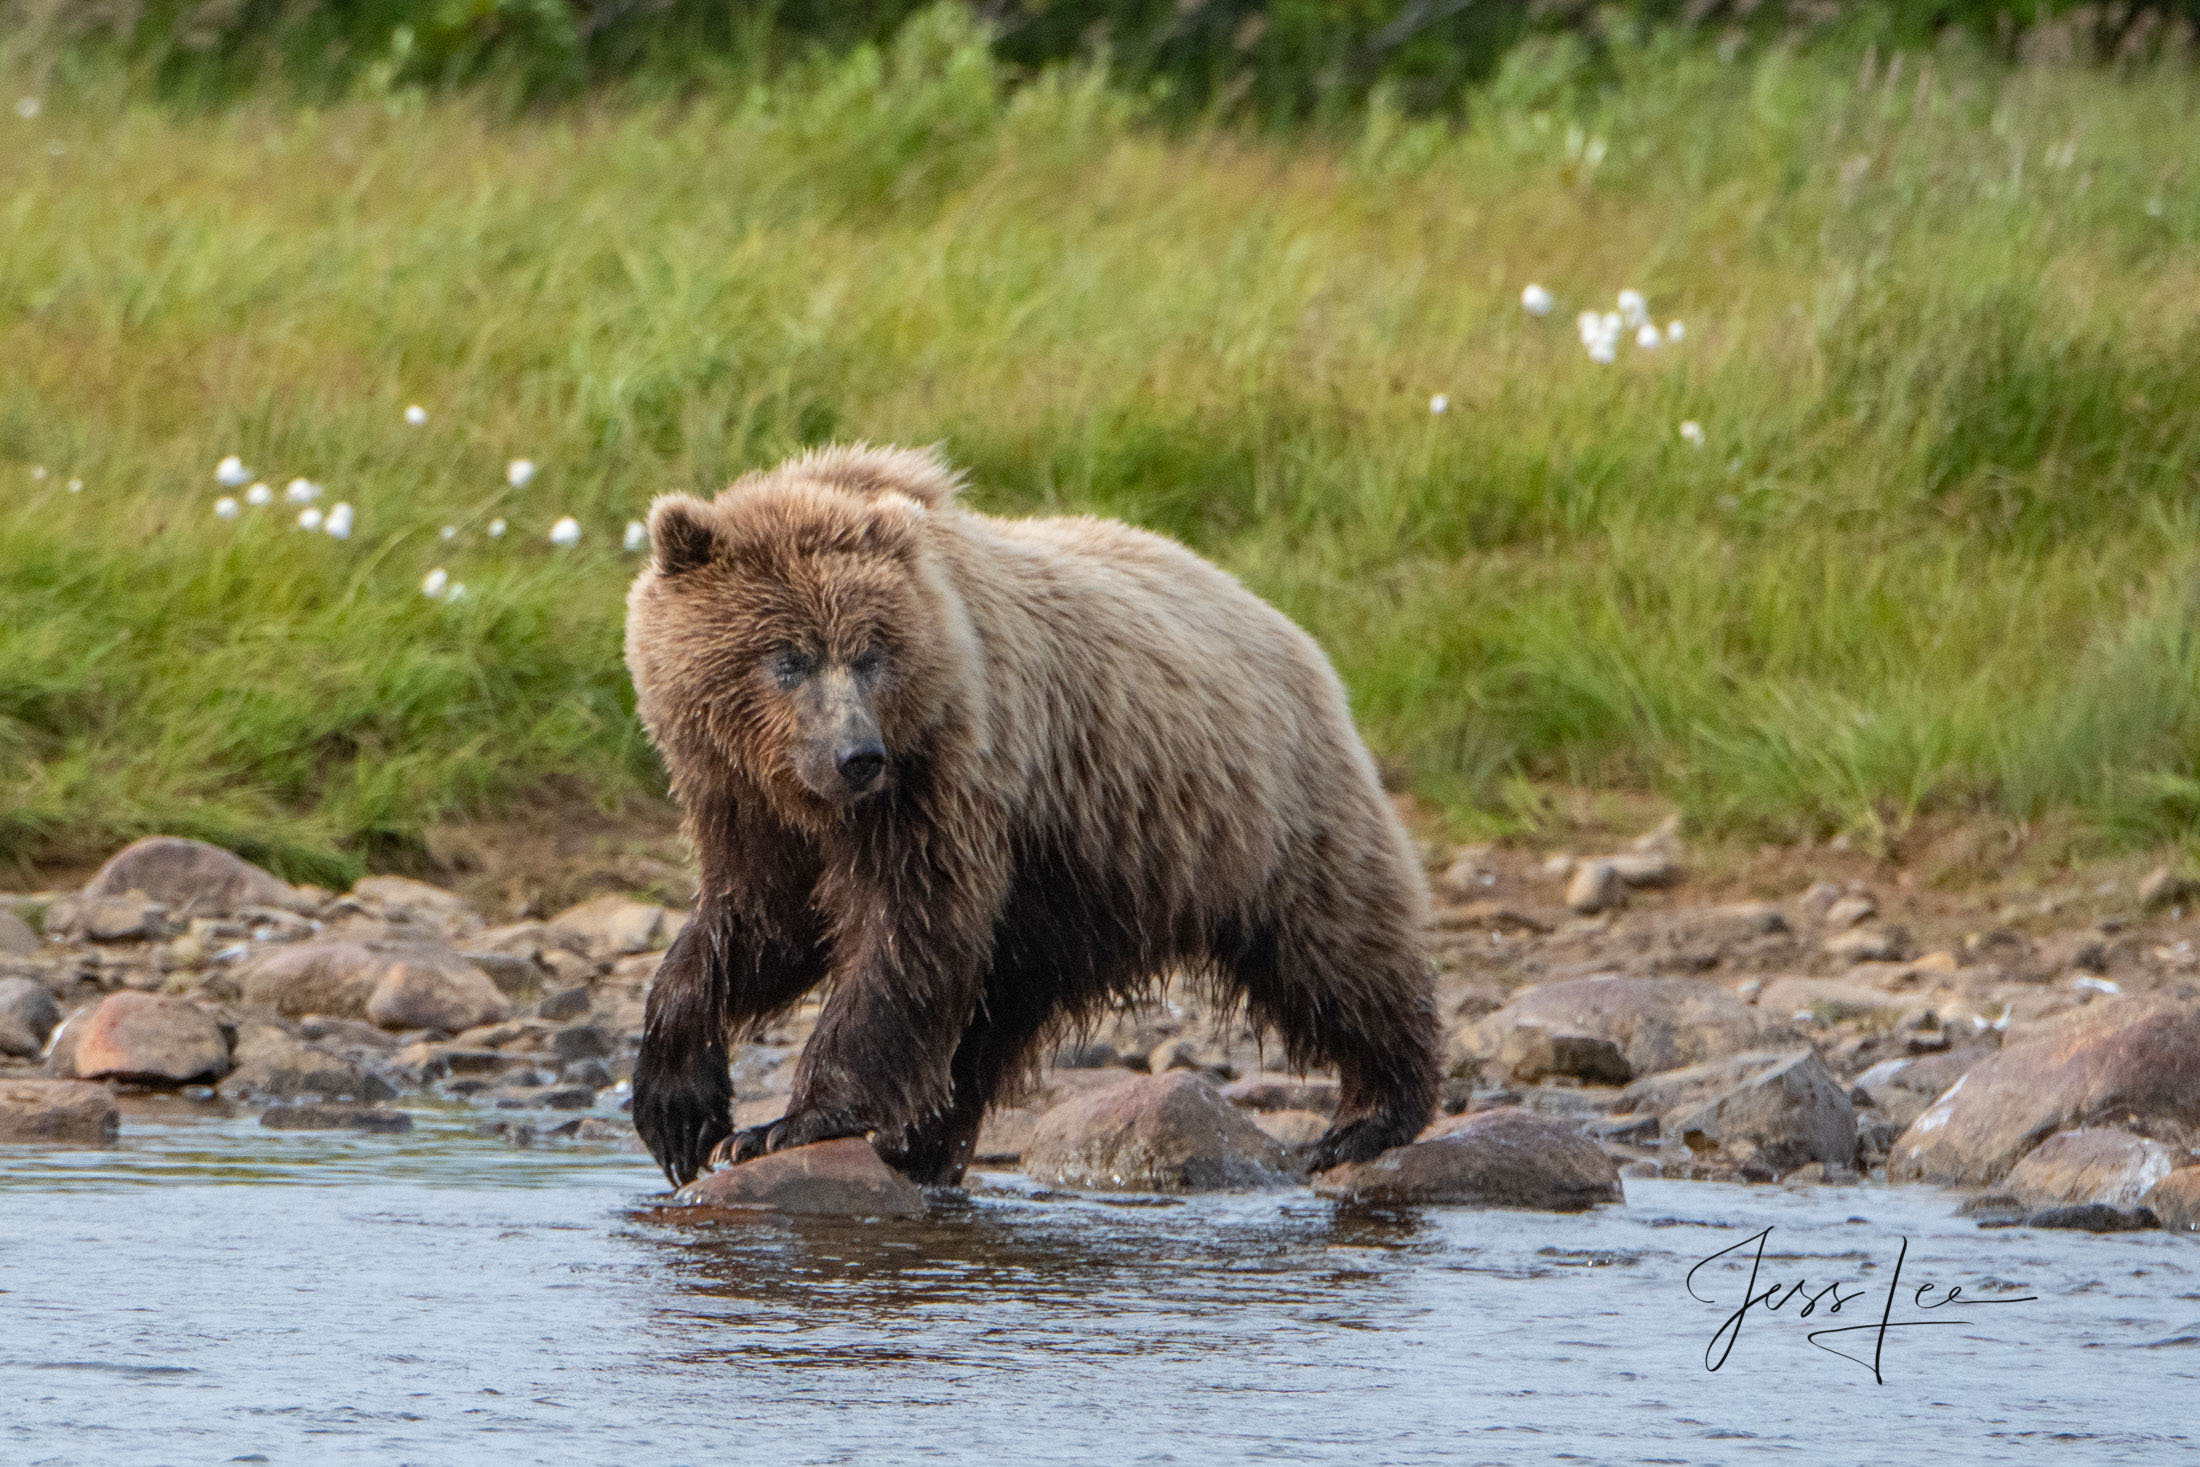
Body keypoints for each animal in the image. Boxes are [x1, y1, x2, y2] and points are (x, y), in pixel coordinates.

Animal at [624, 442, 1443, 1187]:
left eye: (870, 655)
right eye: (786, 657)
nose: (859, 755)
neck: (808, 798)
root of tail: (1289, 627)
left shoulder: (943, 776)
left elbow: (902, 933)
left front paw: (785, 1123)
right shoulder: (745, 804)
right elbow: (756, 925)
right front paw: (680, 1108)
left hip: (1259, 815)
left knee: (1337, 952)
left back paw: (1370, 1113)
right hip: (1065, 896)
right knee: (993, 1019)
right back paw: (922, 1142)